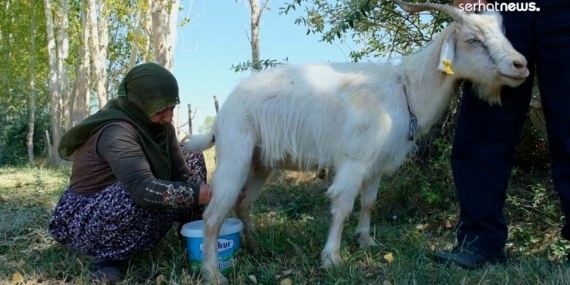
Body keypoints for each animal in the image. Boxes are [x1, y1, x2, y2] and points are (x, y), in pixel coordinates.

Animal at [184, 1, 524, 282]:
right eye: (473, 39)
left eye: (502, 32)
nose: (520, 65)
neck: (405, 90)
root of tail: (223, 111)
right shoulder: (354, 159)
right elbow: (343, 203)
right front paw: (332, 259)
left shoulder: (376, 163)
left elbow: (369, 201)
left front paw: (367, 241)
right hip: (235, 153)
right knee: (213, 215)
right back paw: (214, 273)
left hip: (260, 162)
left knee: (242, 205)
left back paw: (256, 248)